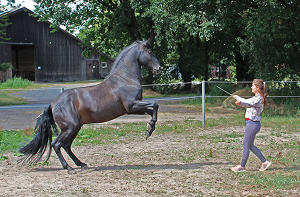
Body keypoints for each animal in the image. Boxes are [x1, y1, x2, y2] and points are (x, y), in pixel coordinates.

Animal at [19, 39, 162, 171]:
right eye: (149, 52)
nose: (159, 69)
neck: (125, 79)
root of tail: (53, 104)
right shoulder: (131, 105)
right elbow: (155, 104)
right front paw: (149, 130)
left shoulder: (132, 109)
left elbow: (151, 110)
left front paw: (149, 128)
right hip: (70, 128)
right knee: (56, 144)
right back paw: (68, 167)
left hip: (75, 128)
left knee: (66, 146)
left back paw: (81, 164)